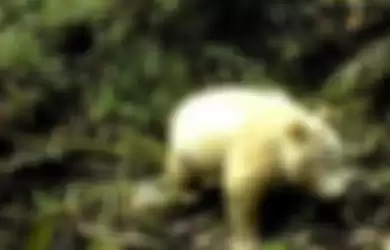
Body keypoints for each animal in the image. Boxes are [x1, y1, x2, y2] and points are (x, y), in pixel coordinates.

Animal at [163, 85, 346, 250]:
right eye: (322, 160)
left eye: (337, 156)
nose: (338, 192)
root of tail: (185, 103)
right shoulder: (255, 146)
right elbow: (242, 189)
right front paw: (245, 242)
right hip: (184, 146)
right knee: (180, 170)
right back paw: (187, 194)